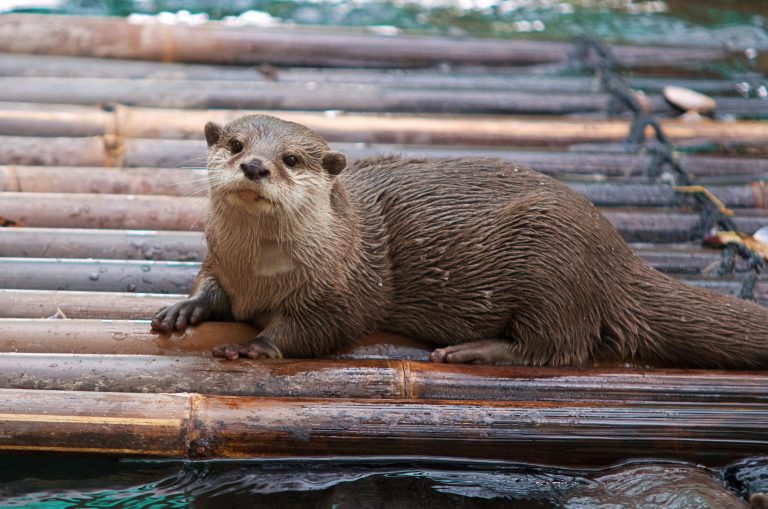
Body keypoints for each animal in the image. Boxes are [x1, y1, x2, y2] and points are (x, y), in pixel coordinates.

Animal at [151, 114, 768, 368]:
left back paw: (473, 350)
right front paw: (184, 309)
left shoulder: (346, 287)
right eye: (234, 144)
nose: (255, 166)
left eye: (292, 159)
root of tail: (617, 252)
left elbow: (320, 329)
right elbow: (209, 285)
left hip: (553, 258)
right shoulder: (219, 259)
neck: (261, 273)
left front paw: (255, 345)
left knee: (560, 346)